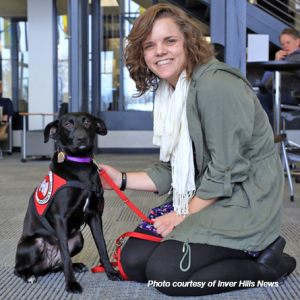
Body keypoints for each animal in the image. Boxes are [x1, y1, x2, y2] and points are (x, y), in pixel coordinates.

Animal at [14, 112, 122, 292]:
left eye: (87, 122)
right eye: (68, 125)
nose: (81, 138)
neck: (80, 165)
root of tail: (47, 265)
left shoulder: (95, 216)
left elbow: (102, 246)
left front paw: (111, 272)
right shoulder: (61, 218)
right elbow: (65, 256)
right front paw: (71, 283)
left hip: (78, 239)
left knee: (57, 266)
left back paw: (76, 265)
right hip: (34, 244)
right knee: (18, 269)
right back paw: (29, 275)